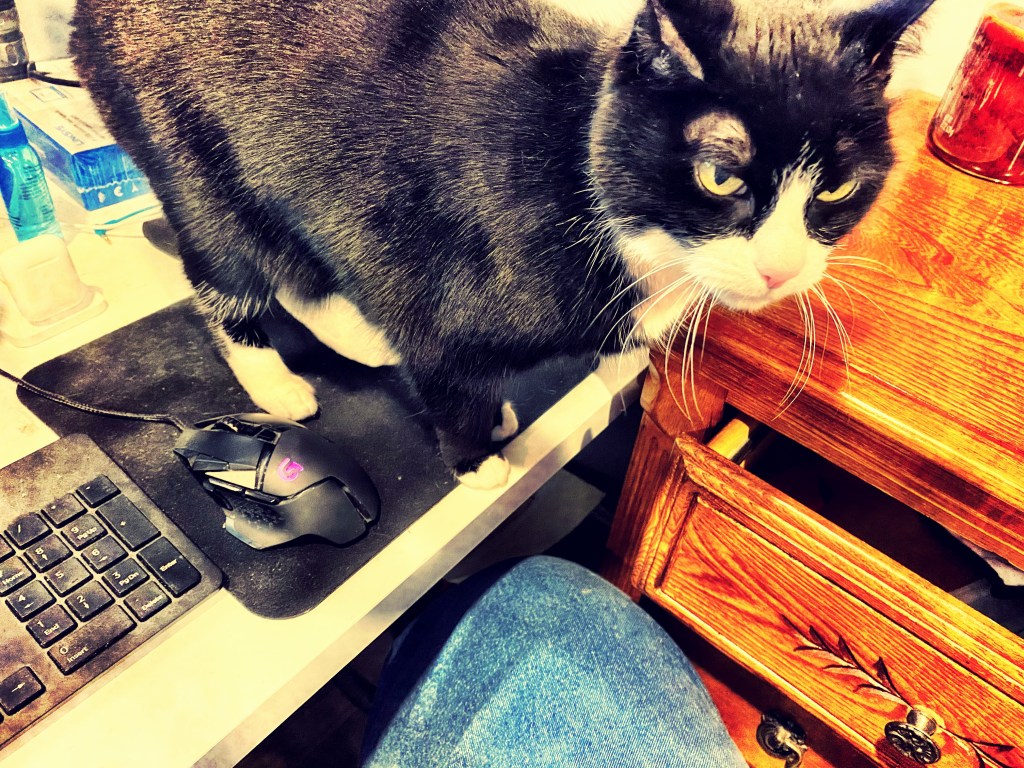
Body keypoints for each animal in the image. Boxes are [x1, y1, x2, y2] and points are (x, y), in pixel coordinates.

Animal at [69, 0, 934, 489]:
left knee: (300, 268)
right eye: (720, 175)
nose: (781, 268)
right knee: (227, 268)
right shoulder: (429, 281)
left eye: (835, 190)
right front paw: (478, 459)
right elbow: (446, 373)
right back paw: (276, 380)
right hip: (191, 158)